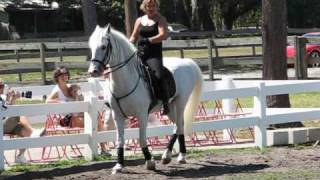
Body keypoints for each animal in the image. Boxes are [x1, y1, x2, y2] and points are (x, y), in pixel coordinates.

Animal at [87, 24, 202, 174]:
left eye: (103, 47)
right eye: (91, 47)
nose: (93, 71)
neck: (126, 81)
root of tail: (187, 62)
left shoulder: (142, 115)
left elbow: (141, 138)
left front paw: (149, 162)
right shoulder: (117, 116)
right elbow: (120, 140)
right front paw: (119, 165)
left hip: (181, 101)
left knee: (178, 125)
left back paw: (172, 156)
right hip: (171, 107)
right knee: (179, 125)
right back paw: (174, 156)